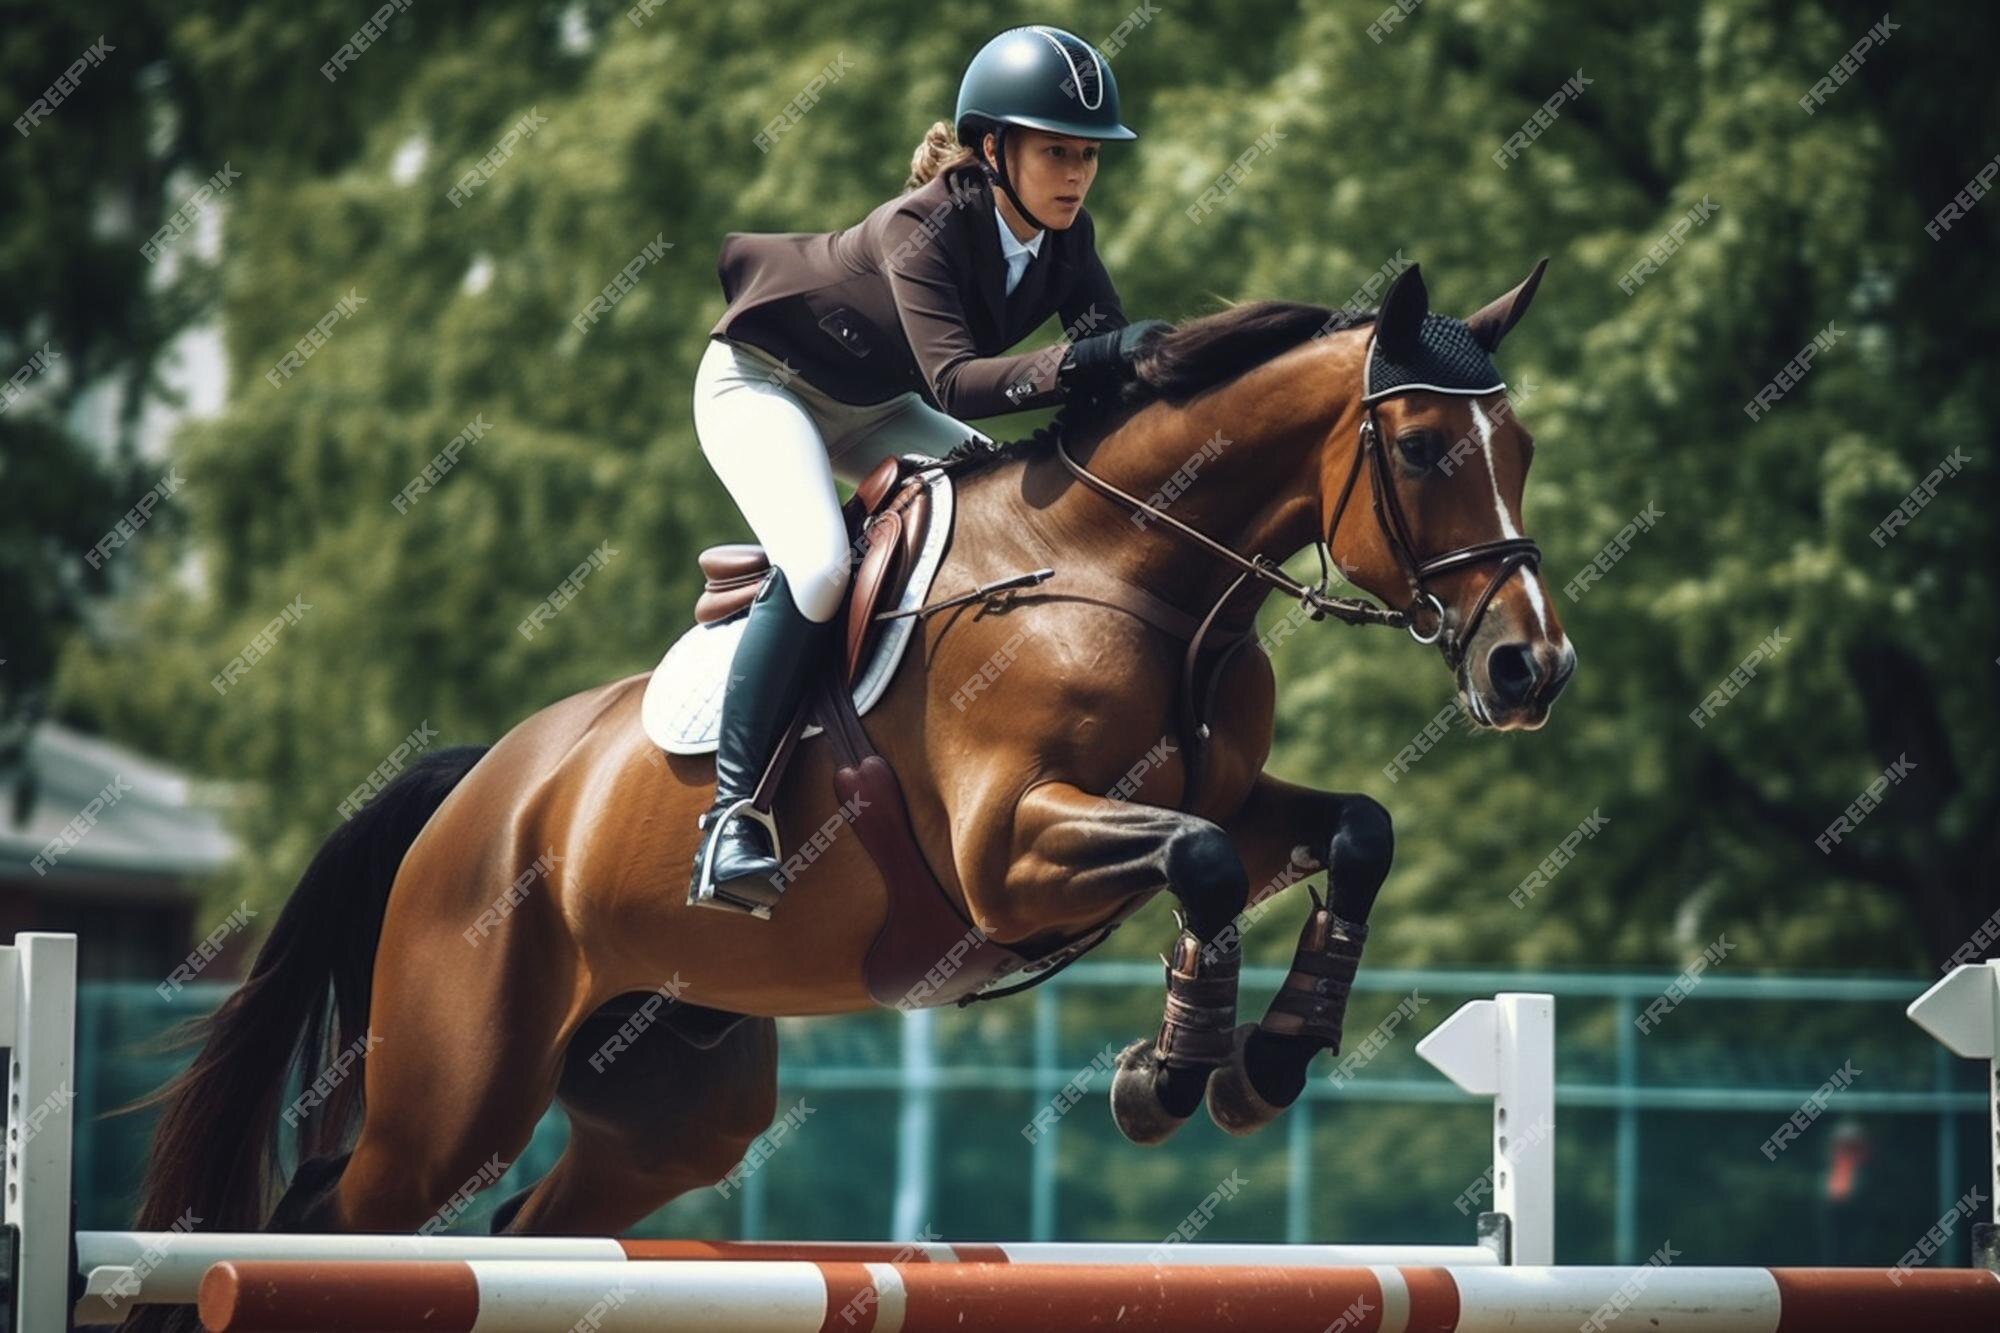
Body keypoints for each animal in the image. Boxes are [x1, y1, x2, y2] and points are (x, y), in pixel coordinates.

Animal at [133, 256, 1576, 1256]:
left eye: (1520, 446)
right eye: (1424, 447)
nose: (1531, 668)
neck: (1143, 575)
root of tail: (480, 793)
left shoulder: (1224, 796)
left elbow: (1348, 831)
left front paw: (1264, 1060)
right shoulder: (1007, 853)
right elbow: (1206, 861)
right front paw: (1164, 1080)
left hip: (670, 1102)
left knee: (529, 1228)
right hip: (454, 1091)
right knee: (336, 1211)